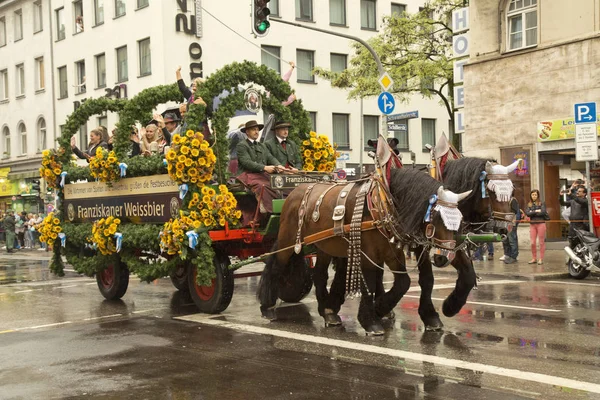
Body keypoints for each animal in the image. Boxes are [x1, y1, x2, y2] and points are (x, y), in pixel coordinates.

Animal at [255, 167, 472, 336]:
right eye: (435, 216)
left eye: (460, 219)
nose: (444, 257)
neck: (384, 203)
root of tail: (295, 191)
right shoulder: (371, 250)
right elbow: (370, 281)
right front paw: (372, 319)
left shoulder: (396, 249)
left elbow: (408, 281)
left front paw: (386, 309)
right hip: (289, 239)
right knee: (277, 265)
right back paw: (267, 307)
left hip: (324, 245)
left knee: (320, 274)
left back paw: (328, 312)